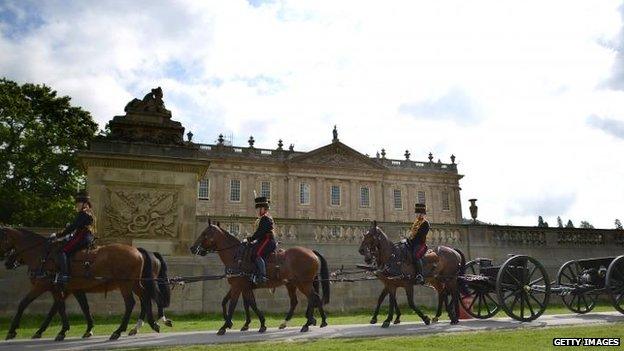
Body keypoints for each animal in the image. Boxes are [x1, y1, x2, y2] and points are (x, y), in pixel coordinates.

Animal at [0, 227, 158, 342]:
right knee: (145, 297)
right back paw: (149, 324)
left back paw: (118, 331)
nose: (7, 263)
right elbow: (70, 308)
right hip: (134, 284)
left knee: (130, 303)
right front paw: (74, 330)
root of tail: (136, 250)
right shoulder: (67, 289)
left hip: (125, 284)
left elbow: (24, 303)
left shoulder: (42, 286)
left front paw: (12, 330)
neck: (44, 256)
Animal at [189, 223, 332, 336]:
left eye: (204, 234)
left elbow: (234, 304)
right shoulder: (242, 287)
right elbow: (240, 303)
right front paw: (244, 323)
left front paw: (225, 326)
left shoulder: (238, 287)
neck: (236, 256)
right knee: (303, 299)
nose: (192, 248)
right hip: (294, 284)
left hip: (303, 283)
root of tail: (311, 251)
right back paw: (311, 321)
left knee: (312, 297)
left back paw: (308, 323)